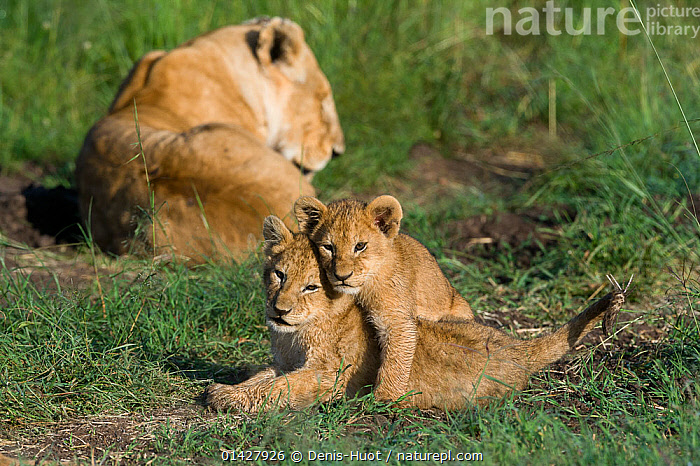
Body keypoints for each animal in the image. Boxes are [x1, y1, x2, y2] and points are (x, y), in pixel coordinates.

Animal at [204, 216, 625, 412]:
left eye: (311, 287)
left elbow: (281, 388)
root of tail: (517, 346)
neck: (293, 335)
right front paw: (224, 389)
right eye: (279, 275)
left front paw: (229, 399)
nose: (280, 309)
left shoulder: (329, 376)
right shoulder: (284, 362)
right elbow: (262, 377)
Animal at [293, 195, 474, 401]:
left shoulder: (397, 319)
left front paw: (384, 398)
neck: (363, 288)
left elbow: (396, 360)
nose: (342, 276)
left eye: (360, 246)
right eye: (328, 247)